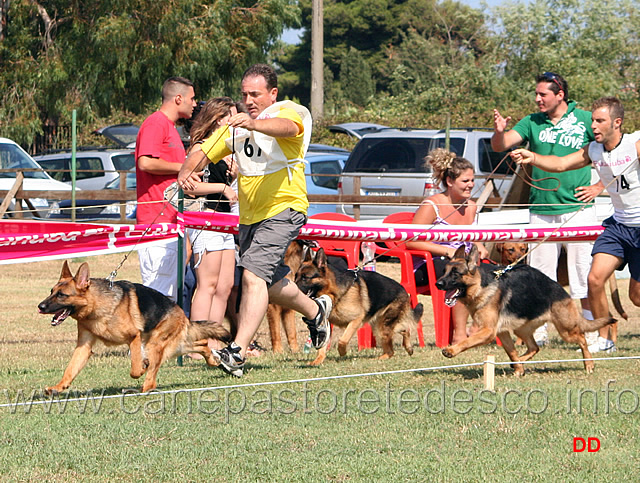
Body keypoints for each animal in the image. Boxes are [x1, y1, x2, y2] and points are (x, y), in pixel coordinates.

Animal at [38, 260, 232, 394]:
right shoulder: (83, 347)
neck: (97, 307)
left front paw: (141, 367)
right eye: (51, 292)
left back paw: (145, 388)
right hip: (174, 346)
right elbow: (70, 369)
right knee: (202, 343)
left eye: (62, 295)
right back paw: (213, 359)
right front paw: (58, 387)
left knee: (152, 377)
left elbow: (135, 369)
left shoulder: (134, 337)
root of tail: (181, 312)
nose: (40, 306)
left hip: (155, 345)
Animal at [296, 248, 424, 364]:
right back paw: (408, 348)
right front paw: (318, 360)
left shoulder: (356, 319)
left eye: (305, 278)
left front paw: (342, 352)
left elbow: (342, 340)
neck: (334, 293)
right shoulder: (324, 324)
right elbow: (322, 344)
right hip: (379, 325)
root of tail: (403, 290)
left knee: (392, 349)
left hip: (382, 327)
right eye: (296, 276)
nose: (294, 287)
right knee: (404, 331)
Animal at [436, 248, 616, 376]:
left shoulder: (488, 332)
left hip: (566, 330)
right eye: (444, 271)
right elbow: (511, 351)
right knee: (534, 347)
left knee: (582, 338)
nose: (438, 284)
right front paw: (518, 369)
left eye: (456, 273)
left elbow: (467, 341)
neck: (481, 287)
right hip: (521, 329)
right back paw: (519, 363)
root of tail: (561, 291)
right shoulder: (501, 332)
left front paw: (451, 350)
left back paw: (589, 363)